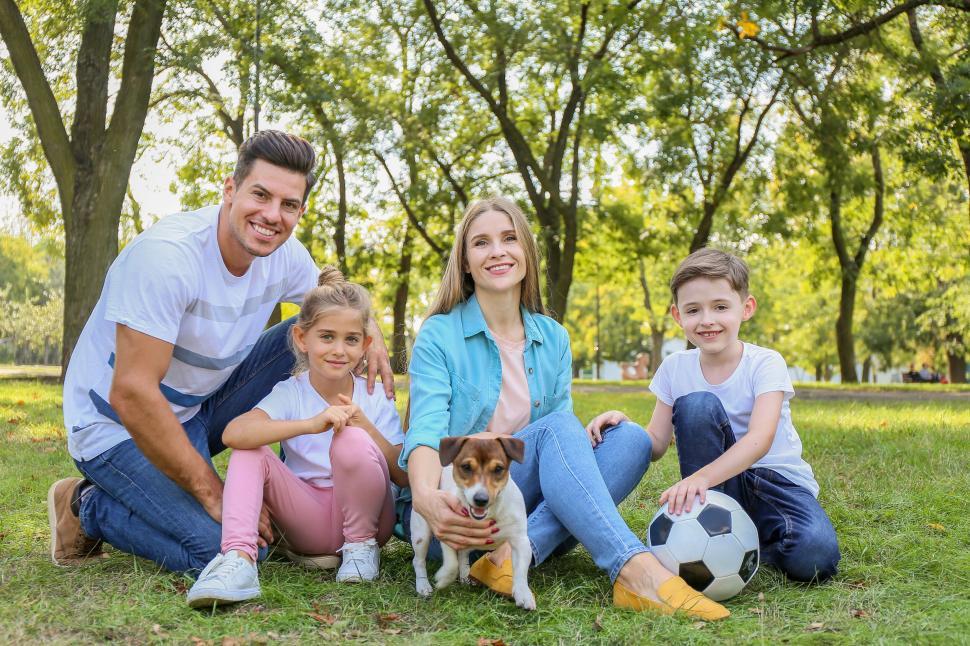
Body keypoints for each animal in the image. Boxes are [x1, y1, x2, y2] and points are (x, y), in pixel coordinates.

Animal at [404, 436, 532, 612]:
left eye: (498, 468)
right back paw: (423, 585)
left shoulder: (521, 541)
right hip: (421, 534)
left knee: (463, 554)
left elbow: (521, 570)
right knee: (419, 561)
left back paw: (465, 576)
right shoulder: (447, 531)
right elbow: (451, 564)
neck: (490, 514)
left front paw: (523, 594)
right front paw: (443, 579)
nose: (481, 499)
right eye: (466, 467)